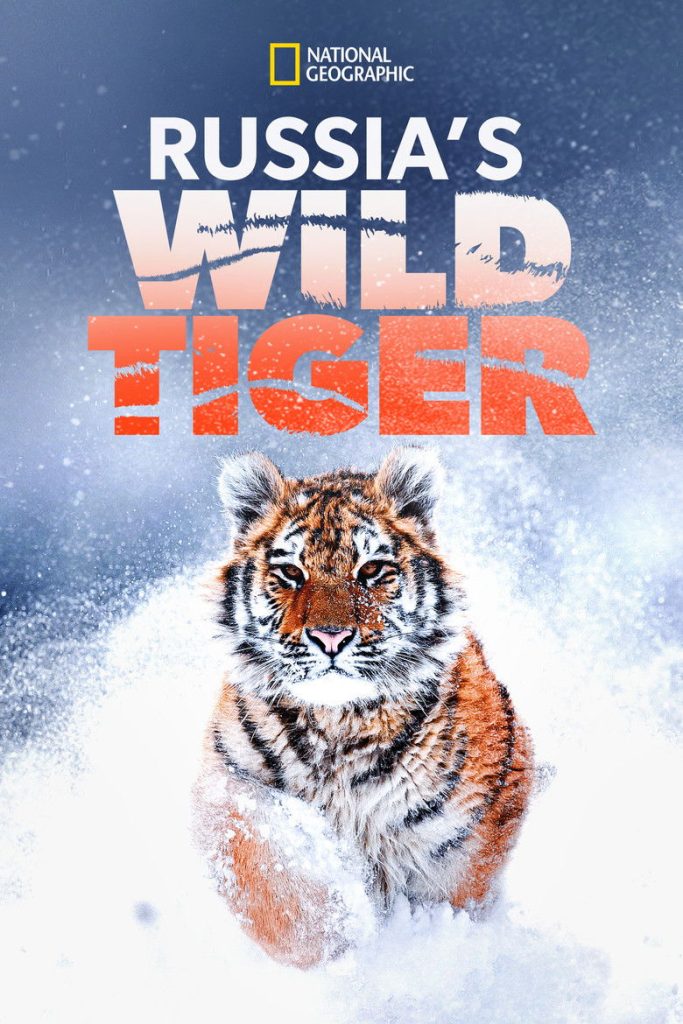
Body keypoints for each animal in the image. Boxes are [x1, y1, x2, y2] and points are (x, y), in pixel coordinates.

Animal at [193, 448, 534, 969]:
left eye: (371, 570)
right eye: (291, 573)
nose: (330, 636)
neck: (339, 724)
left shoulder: (466, 832)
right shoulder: (225, 783)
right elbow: (262, 865)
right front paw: (335, 935)